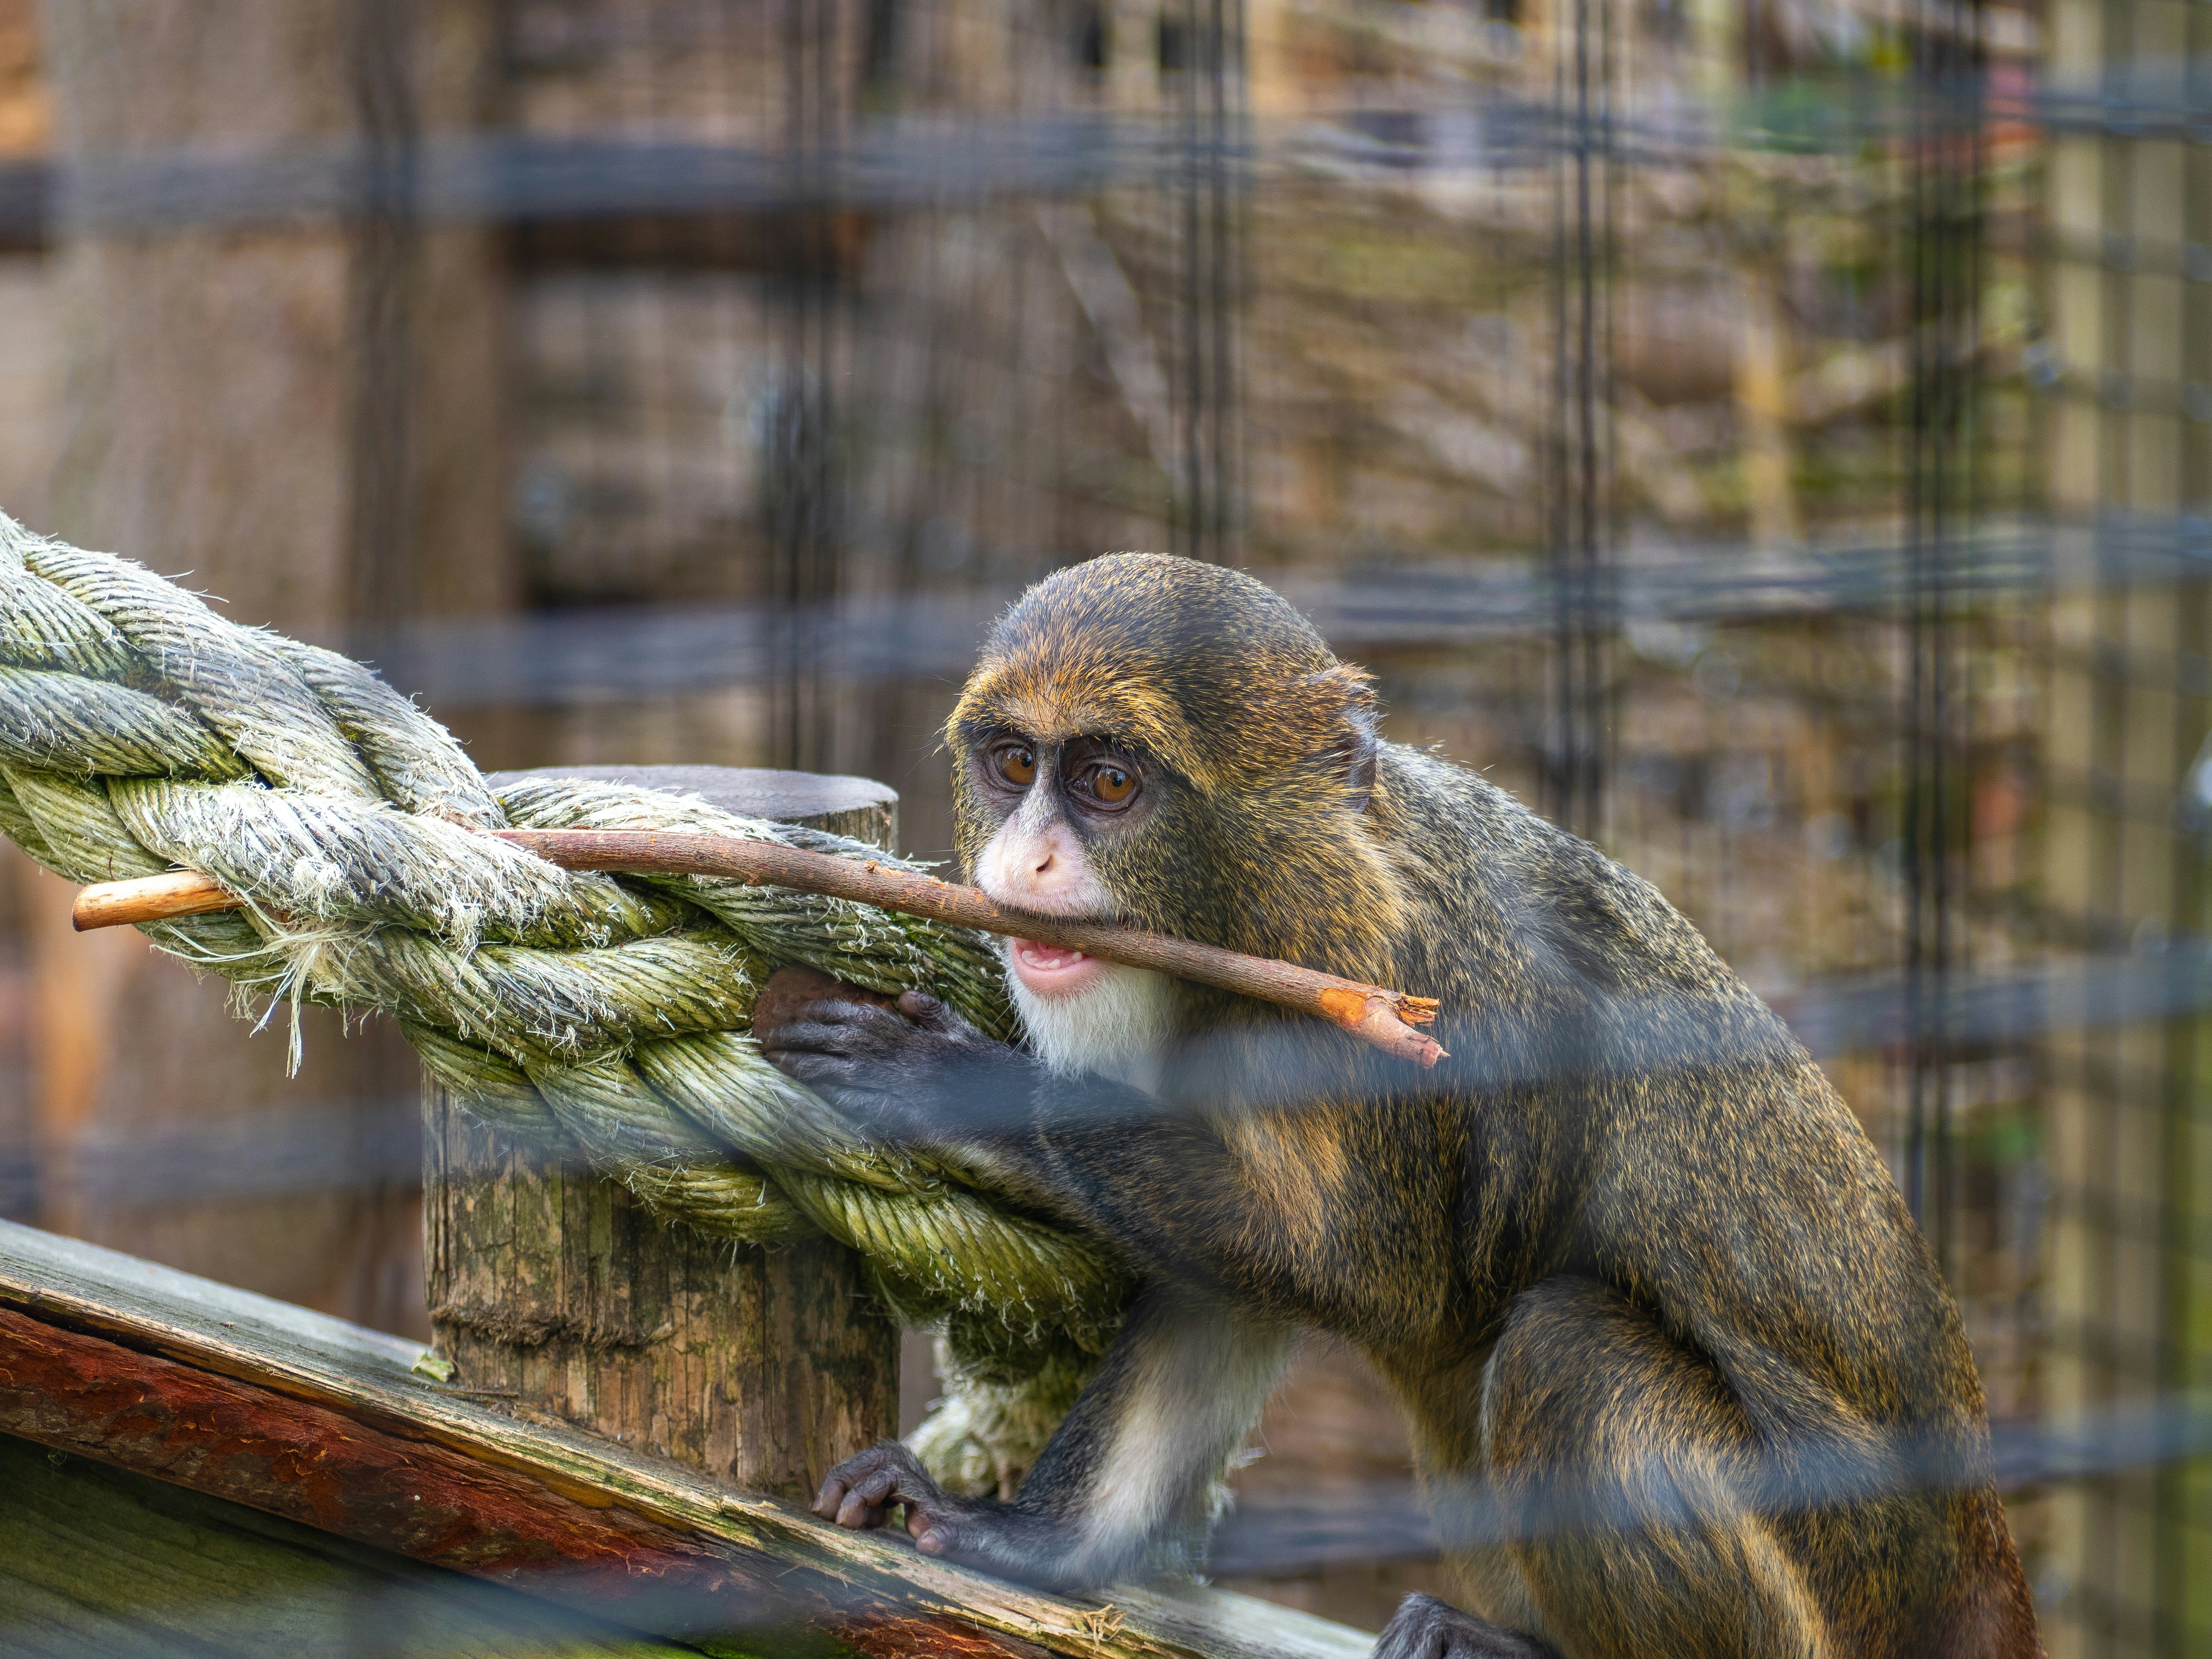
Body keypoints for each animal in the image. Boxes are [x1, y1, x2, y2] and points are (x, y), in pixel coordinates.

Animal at [755, 553, 2041, 1659]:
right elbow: (1224, 1298)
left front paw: (946, 1084)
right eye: (1015, 767)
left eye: (1108, 783)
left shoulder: (1400, 991)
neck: (1266, 901)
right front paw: (1023, 1541)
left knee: (1572, 1350)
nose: (1022, 866)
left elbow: (1363, 1269)